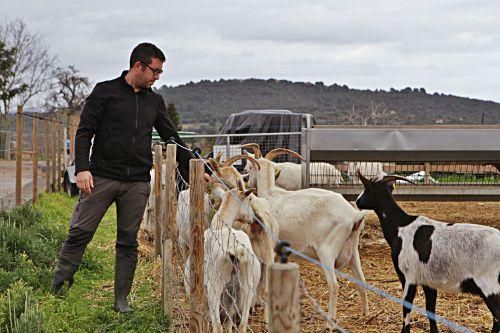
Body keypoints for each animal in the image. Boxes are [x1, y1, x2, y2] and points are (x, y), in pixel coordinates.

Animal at [244, 147, 370, 326]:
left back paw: (330, 322)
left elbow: (262, 277)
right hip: (353, 251)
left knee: (334, 285)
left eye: (250, 167)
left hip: (327, 252)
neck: (271, 193)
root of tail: (354, 216)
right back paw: (365, 314)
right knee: (362, 280)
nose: (247, 182)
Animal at [356, 171, 500, 332]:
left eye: (366, 189)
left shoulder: (408, 277)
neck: (401, 227)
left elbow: (407, 308)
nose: (357, 201)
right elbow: (430, 309)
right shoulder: (428, 281)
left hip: (490, 286)